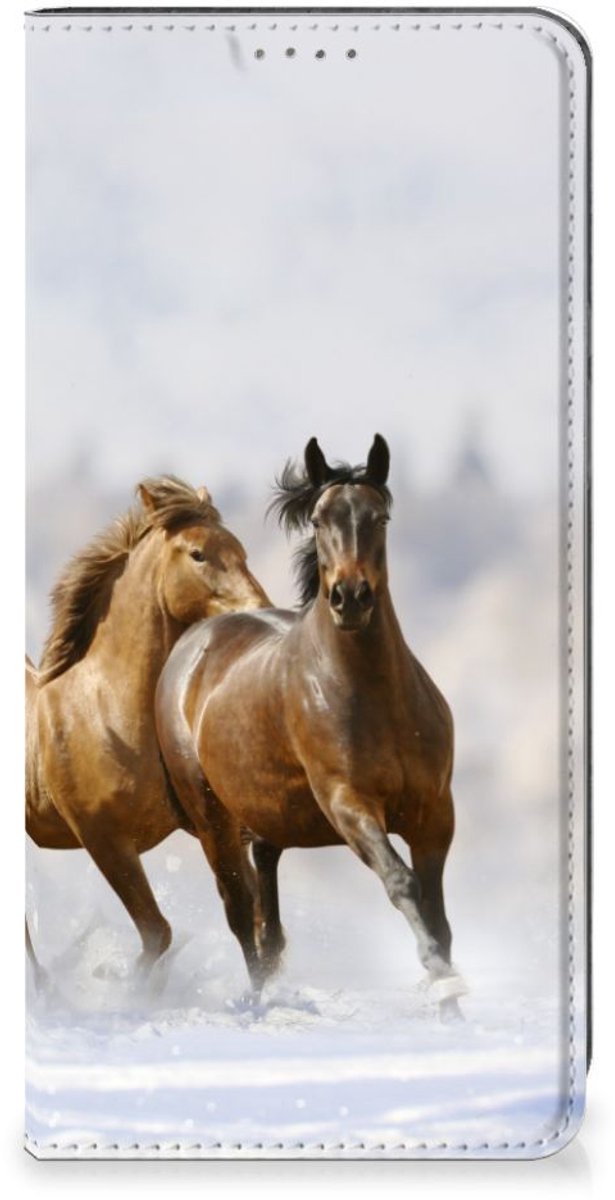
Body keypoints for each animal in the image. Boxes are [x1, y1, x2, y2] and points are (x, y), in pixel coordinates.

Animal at [26, 475, 269, 975]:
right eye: (198, 554)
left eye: (241, 550)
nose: (259, 609)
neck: (106, 713)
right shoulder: (105, 842)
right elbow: (158, 933)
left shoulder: (214, 827)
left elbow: (248, 914)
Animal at [155, 437, 466, 1017]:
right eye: (320, 520)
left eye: (380, 517)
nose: (350, 597)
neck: (375, 697)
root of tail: (193, 643)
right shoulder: (349, 804)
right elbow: (402, 883)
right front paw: (441, 980)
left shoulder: (434, 812)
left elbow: (437, 912)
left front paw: (452, 1004)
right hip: (212, 820)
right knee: (241, 912)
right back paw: (258, 1003)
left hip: (267, 818)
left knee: (266, 912)